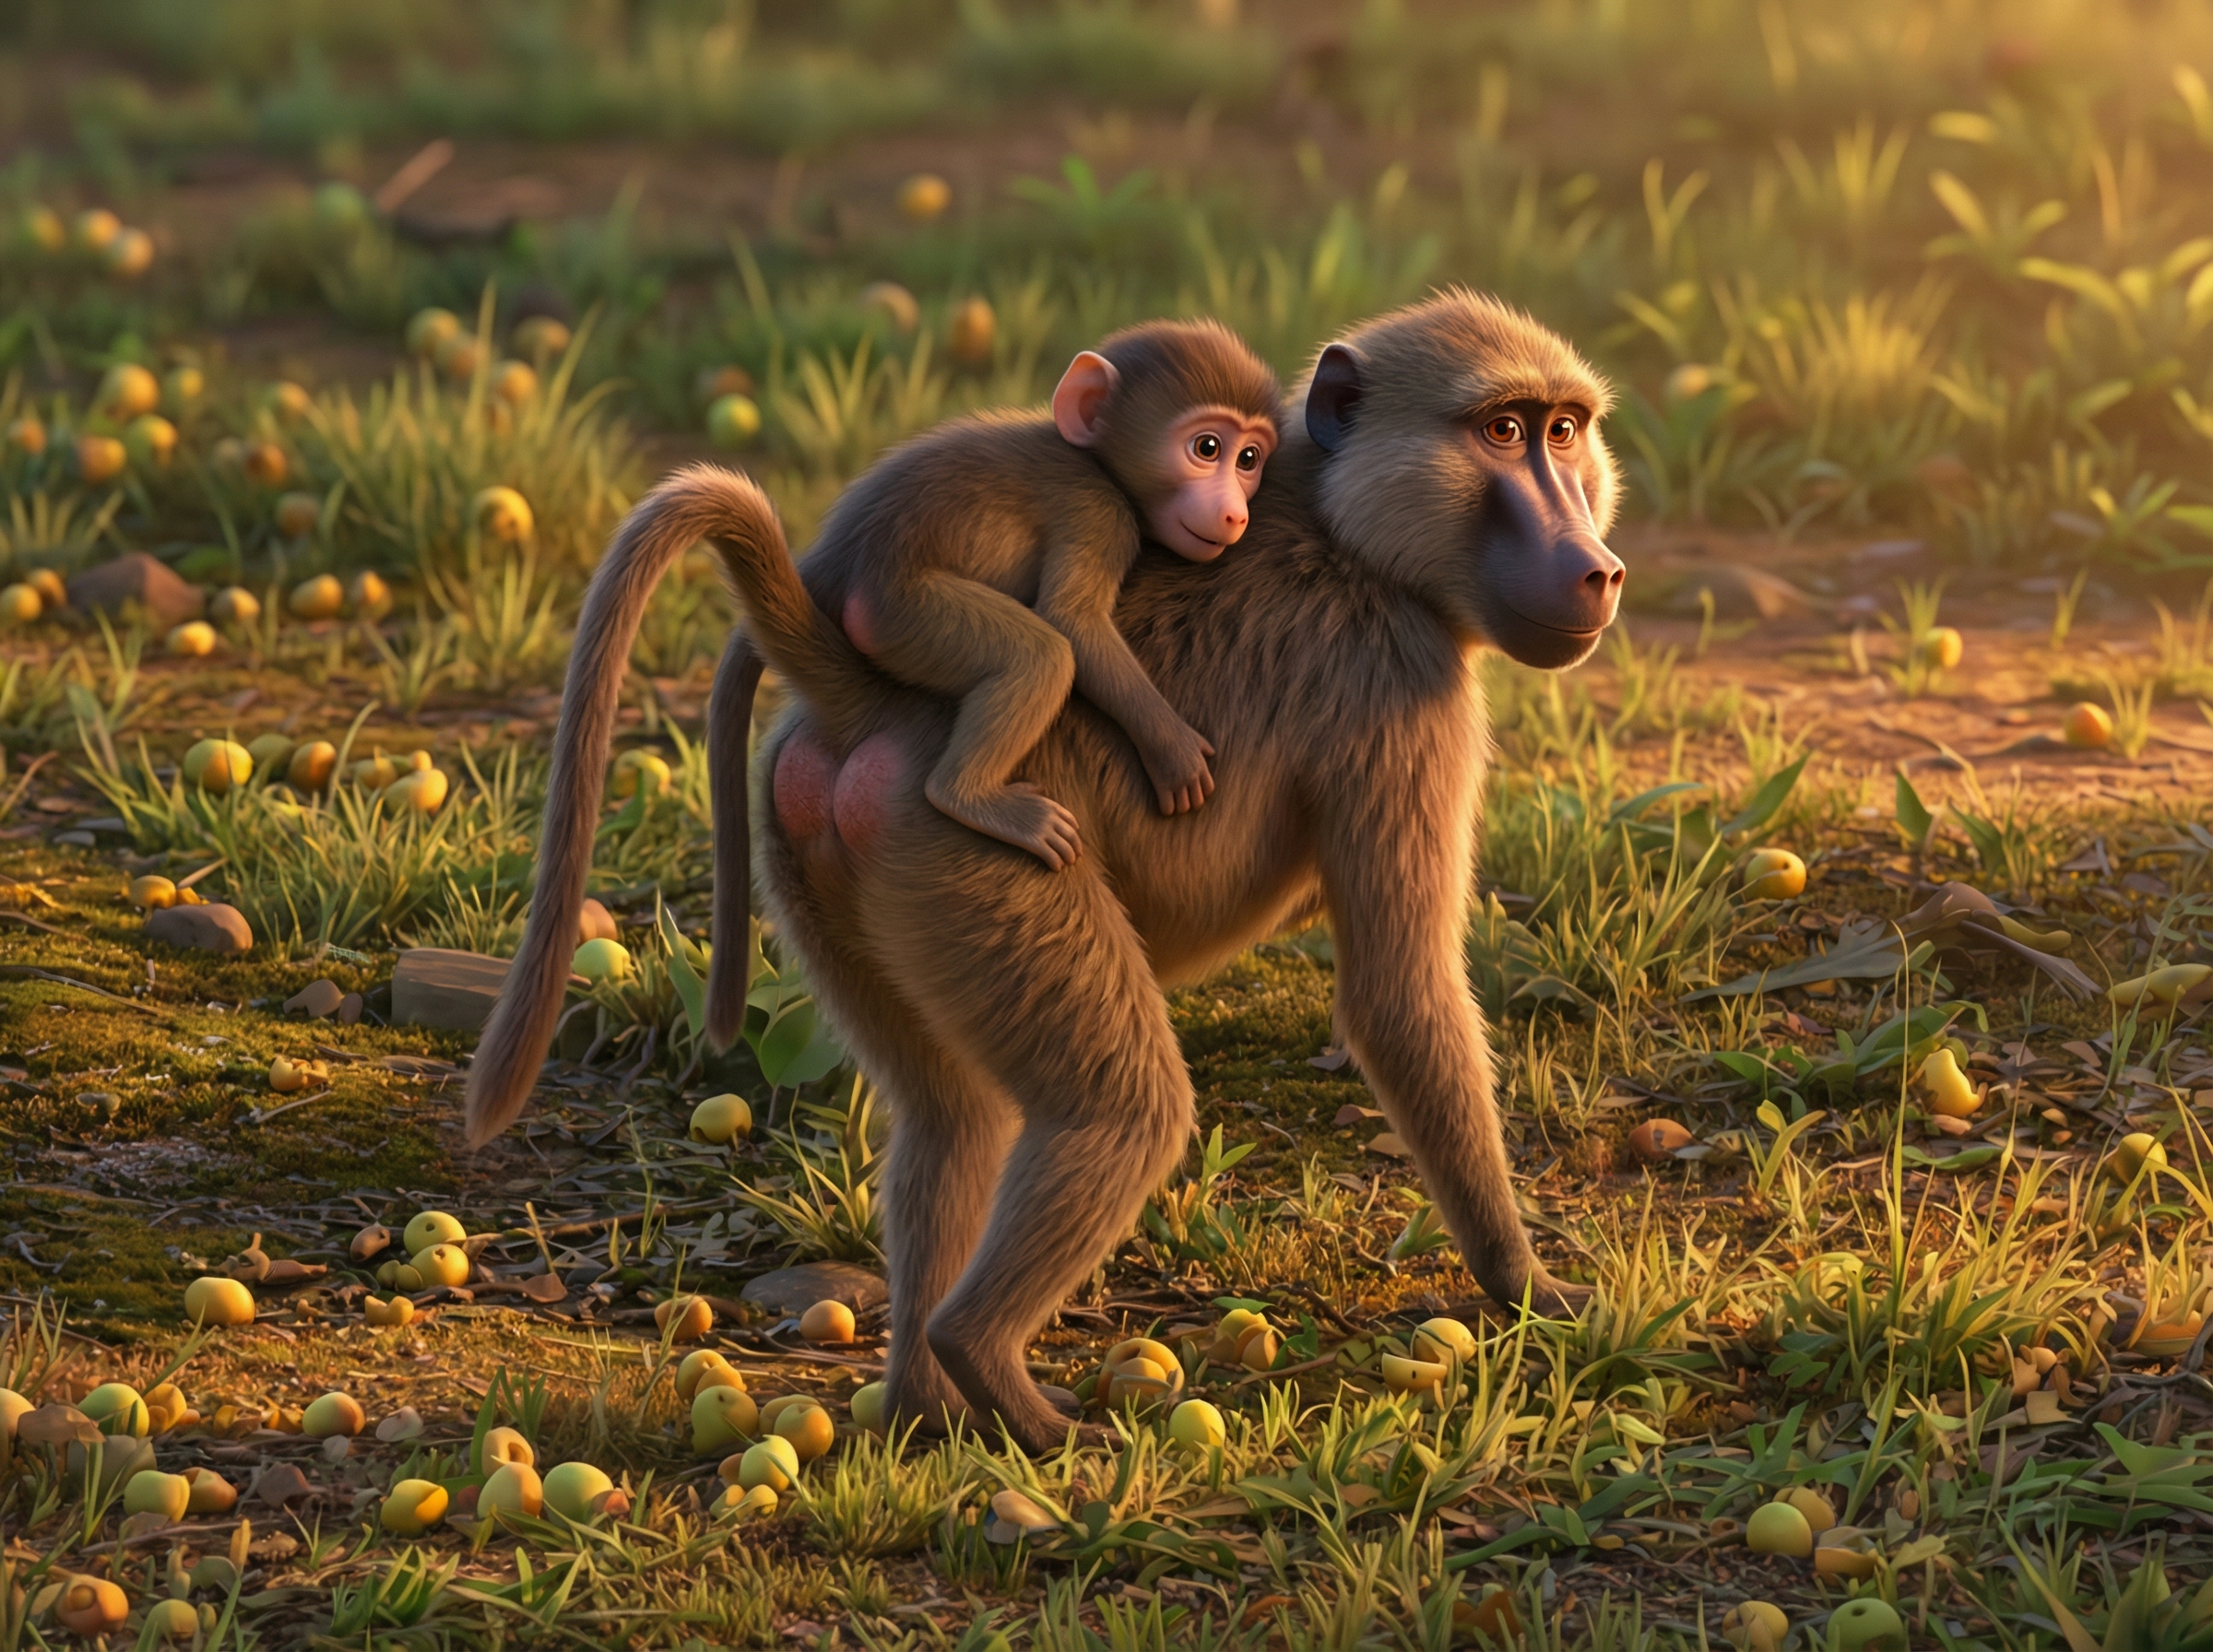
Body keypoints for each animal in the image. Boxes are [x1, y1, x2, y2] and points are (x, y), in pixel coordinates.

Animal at [466, 288, 1626, 1458]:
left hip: (843, 873)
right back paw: (992, 1367)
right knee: (1125, 1110)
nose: (1598, 567)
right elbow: (1398, 996)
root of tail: (874, 707)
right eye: (1502, 431)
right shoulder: (1405, 684)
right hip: (979, 865)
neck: (1352, 535)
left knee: (955, 1121)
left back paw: (926, 1407)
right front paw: (1530, 1287)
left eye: (1566, 430)